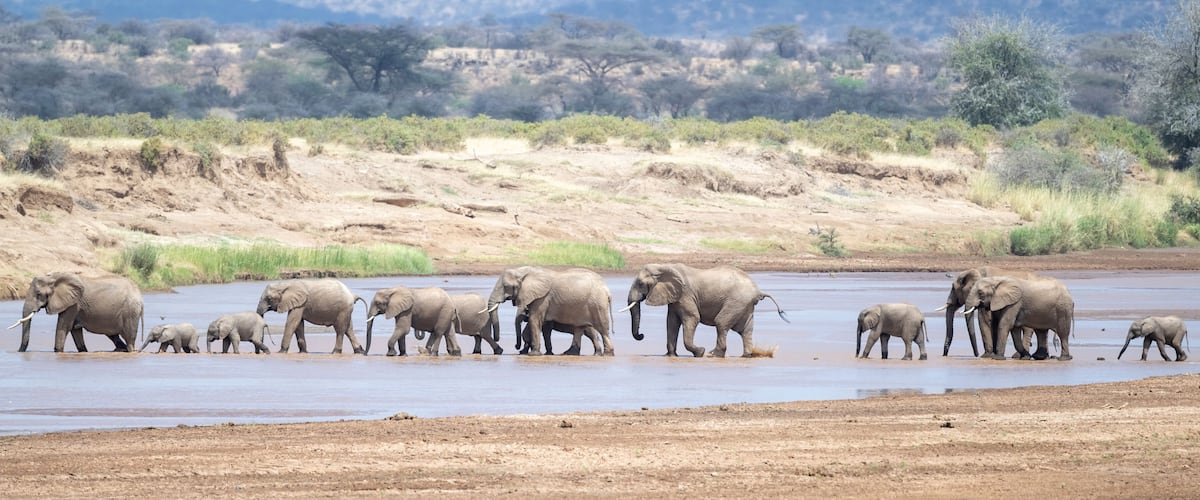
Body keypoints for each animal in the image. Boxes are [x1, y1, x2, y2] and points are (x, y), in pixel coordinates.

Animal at [10, 272, 144, 353]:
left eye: (38, 294)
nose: (19, 352)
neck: (54, 276)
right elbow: (75, 329)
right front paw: (83, 351)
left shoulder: (73, 304)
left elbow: (64, 326)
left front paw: (58, 351)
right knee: (113, 336)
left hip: (130, 312)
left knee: (129, 338)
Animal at [623, 263, 788, 358]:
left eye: (640, 284)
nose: (642, 335)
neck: (665, 267)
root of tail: (757, 291)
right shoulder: (675, 297)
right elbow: (671, 322)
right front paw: (670, 356)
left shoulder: (685, 294)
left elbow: (692, 318)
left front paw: (699, 352)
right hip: (744, 305)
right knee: (746, 330)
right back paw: (746, 356)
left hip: (736, 302)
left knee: (721, 323)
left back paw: (712, 354)